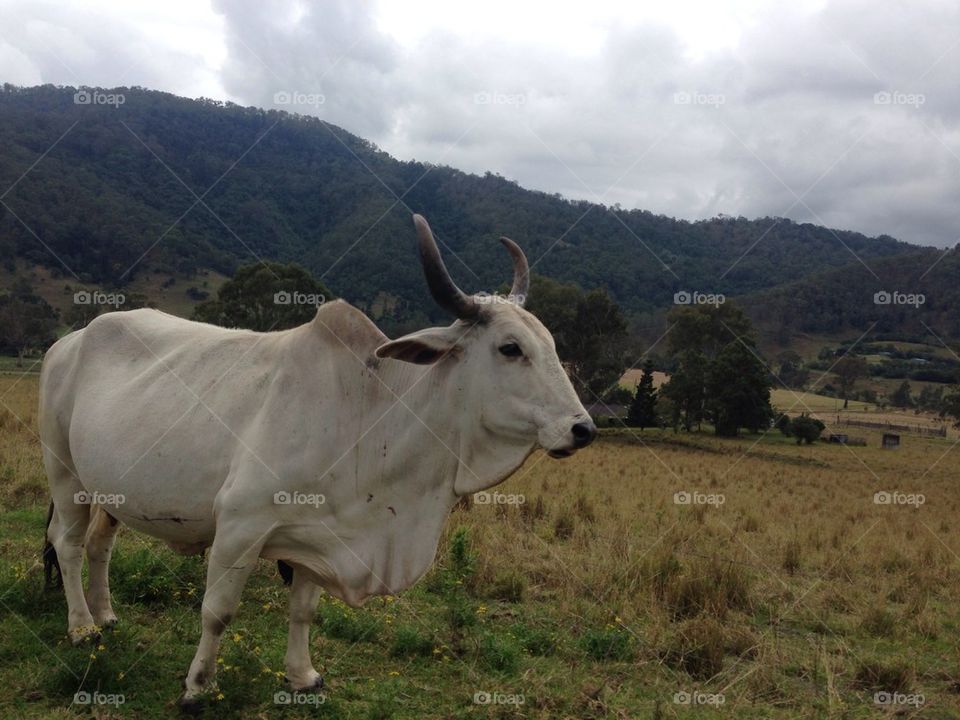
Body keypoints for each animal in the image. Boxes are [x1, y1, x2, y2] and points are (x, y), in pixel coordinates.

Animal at [40, 214, 596, 708]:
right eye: (510, 348)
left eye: (550, 343)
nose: (583, 428)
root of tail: (69, 340)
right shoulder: (240, 524)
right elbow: (217, 612)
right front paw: (197, 687)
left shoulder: (316, 534)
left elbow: (303, 611)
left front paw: (302, 676)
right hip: (64, 474)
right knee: (68, 544)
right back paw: (82, 628)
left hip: (109, 490)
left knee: (100, 544)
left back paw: (106, 615)